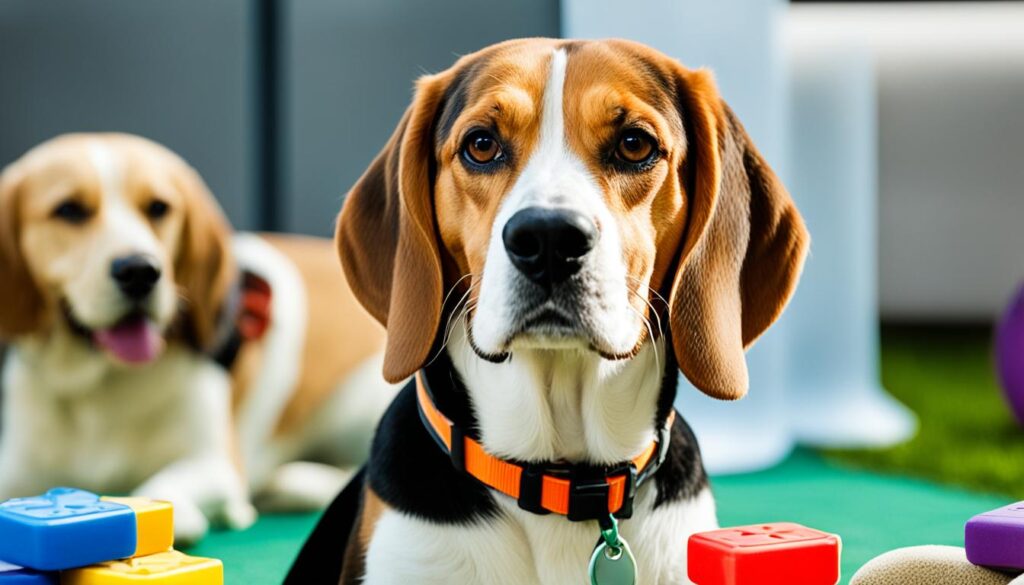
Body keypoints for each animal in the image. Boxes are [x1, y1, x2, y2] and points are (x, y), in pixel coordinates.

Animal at [0, 134, 397, 545]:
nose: (140, 271)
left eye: (158, 208)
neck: (102, 387)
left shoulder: (215, 465)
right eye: (69, 210)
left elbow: (162, 486)